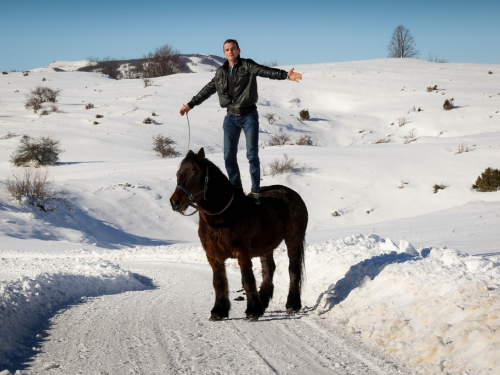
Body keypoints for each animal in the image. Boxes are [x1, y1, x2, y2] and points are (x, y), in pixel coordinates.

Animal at [170, 148, 306, 322]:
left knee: (293, 269)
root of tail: (292, 194)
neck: (222, 217)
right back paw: (263, 301)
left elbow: (247, 279)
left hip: (293, 239)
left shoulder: (242, 253)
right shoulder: (213, 256)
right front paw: (219, 311)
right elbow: (219, 282)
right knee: (268, 269)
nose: (175, 202)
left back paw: (292, 304)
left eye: (195, 172)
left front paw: (252, 311)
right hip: (267, 247)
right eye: (178, 173)